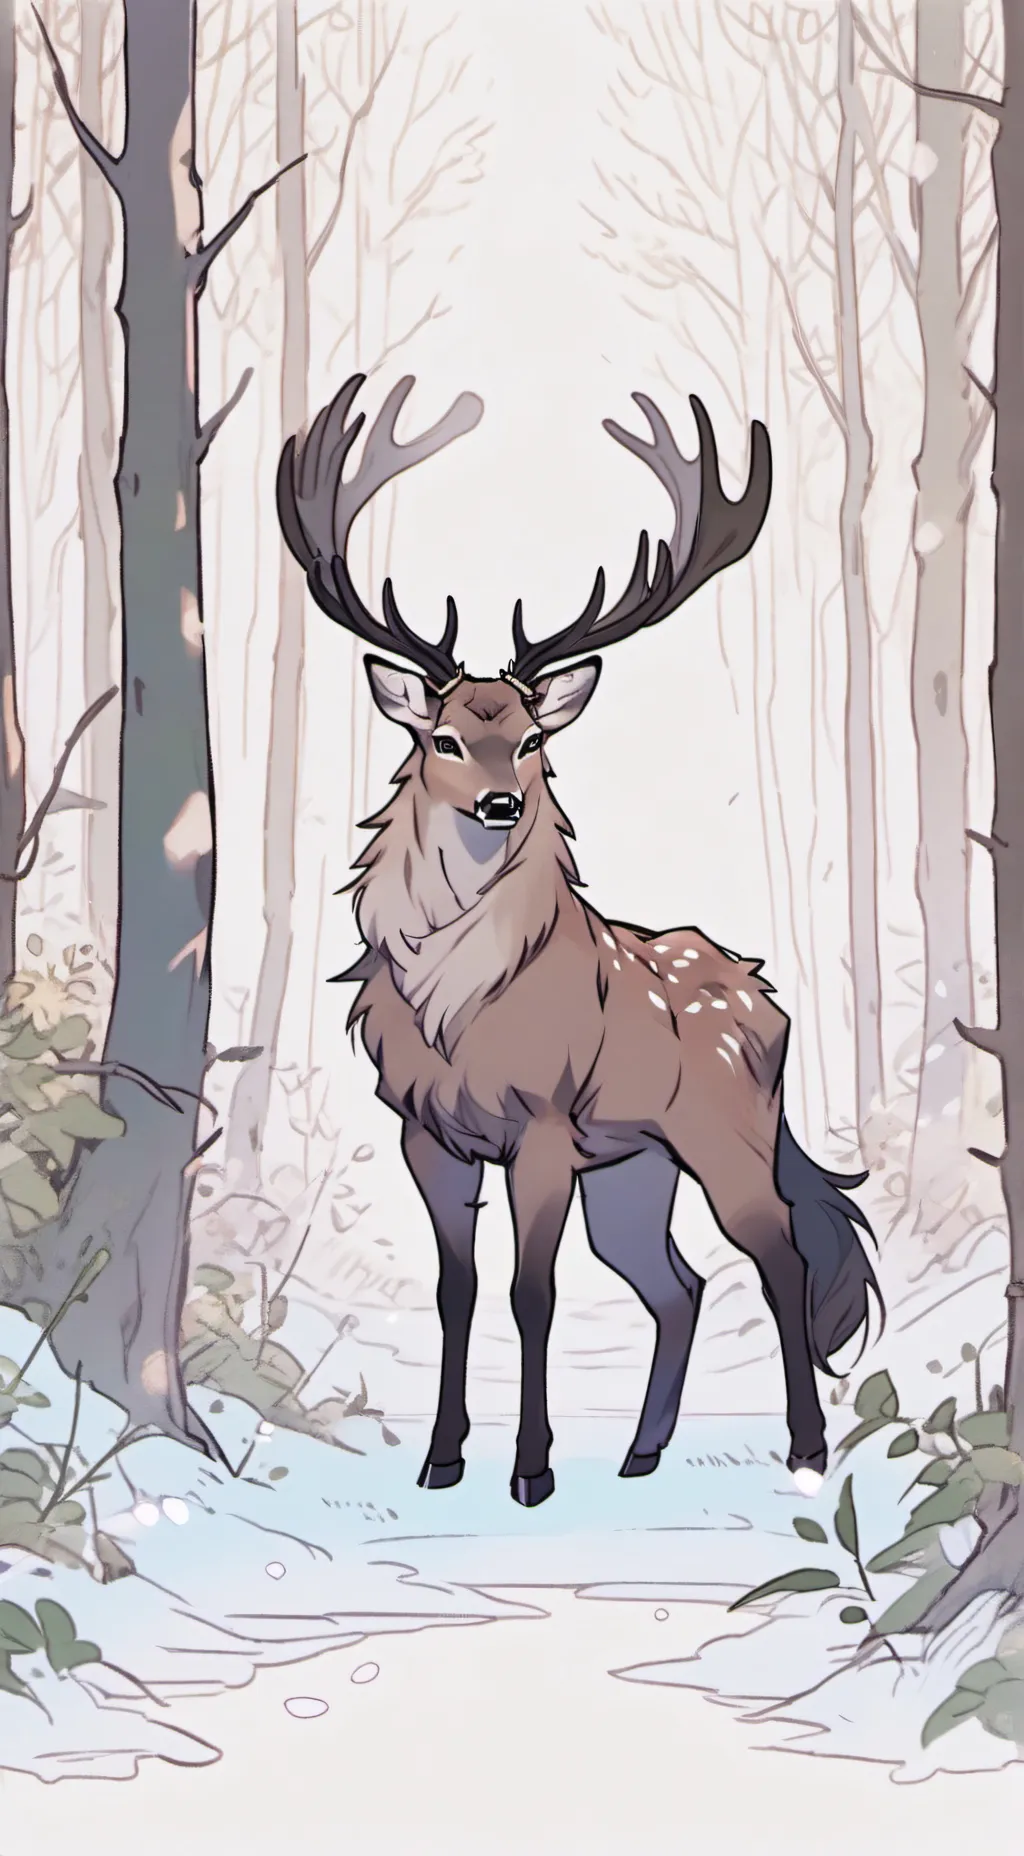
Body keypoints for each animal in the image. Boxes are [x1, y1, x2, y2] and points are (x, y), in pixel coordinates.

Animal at [277, 372, 881, 1508]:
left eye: (529, 739)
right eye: (440, 738)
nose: (501, 803)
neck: (462, 1018)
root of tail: (768, 1001)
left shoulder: (545, 1120)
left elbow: (533, 1290)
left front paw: (530, 1468)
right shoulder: (424, 1130)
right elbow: (457, 1288)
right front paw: (441, 1457)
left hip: (723, 1137)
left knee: (777, 1257)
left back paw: (806, 1449)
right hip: (635, 1166)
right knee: (678, 1281)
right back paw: (645, 1450)